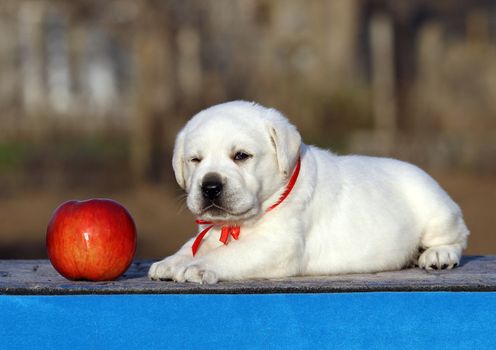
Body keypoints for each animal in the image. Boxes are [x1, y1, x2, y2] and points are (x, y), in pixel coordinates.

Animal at [148, 100, 468, 284]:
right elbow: (194, 244)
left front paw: (197, 267)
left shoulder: (277, 246)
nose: (210, 186)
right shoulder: (212, 230)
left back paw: (437, 255)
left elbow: (228, 255)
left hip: (437, 212)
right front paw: (170, 262)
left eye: (241, 156)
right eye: (195, 160)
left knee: (457, 238)